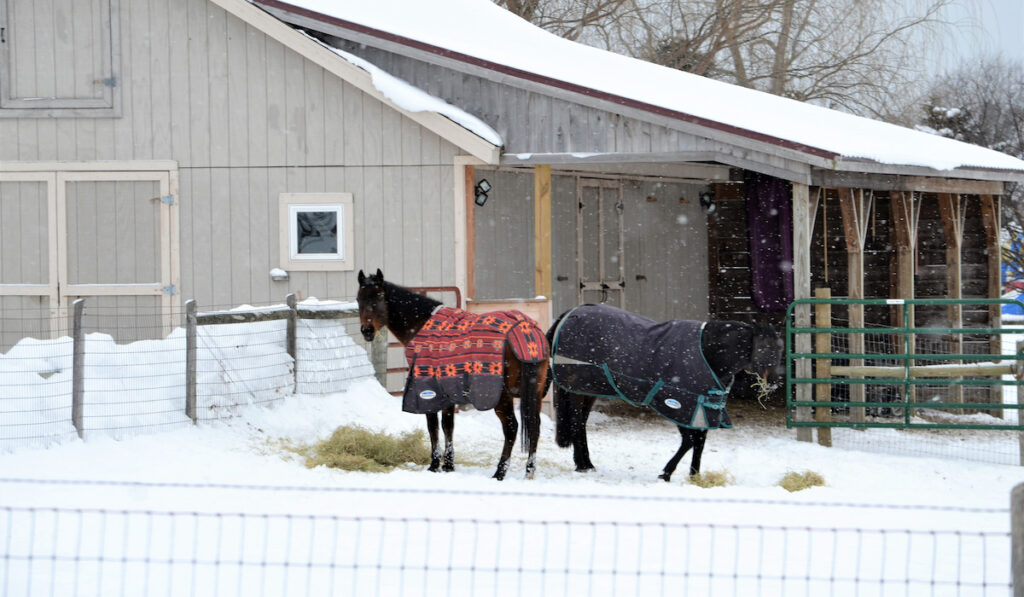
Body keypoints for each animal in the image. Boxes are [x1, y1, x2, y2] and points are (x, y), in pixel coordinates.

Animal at [360, 270, 552, 481]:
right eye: (359, 299)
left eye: (379, 298)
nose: (366, 330)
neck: (421, 324)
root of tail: (525, 329)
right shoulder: (448, 391)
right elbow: (448, 425)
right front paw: (448, 465)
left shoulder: (428, 392)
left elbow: (434, 426)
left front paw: (435, 465)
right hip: (534, 392)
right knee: (534, 427)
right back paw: (529, 471)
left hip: (501, 396)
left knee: (511, 428)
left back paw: (500, 472)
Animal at [548, 305, 778, 483]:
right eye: (764, 347)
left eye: (781, 348)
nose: (775, 383)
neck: (706, 351)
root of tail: (571, 313)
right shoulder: (678, 404)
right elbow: (690, 441)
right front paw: (666, 473)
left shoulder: (701, 407)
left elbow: (700, 441)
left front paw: (694, 475)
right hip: (577, 389)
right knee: (576, 422)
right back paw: (582, 465)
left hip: (587, 390)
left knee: (581, 423)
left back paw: (586, 463)